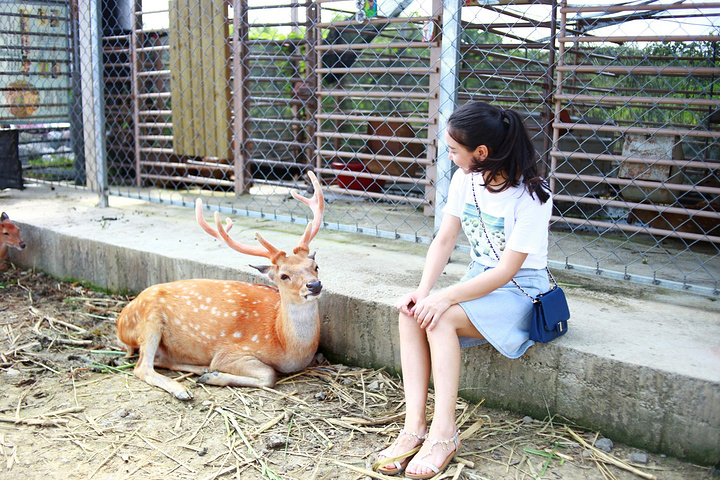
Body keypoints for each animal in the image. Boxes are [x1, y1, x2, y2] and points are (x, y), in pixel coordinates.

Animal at [116, 172, 326, 398]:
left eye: (315, 266)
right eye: (284, 276)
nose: (314, 285)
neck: (286, 345)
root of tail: (120, 323)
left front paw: (211, 374)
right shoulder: (230, 352)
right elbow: (270, 374)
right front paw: (214, 376)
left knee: (160, 360)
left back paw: (202, 370)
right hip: (148, 320)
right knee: (142, 366)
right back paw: (183, 389)